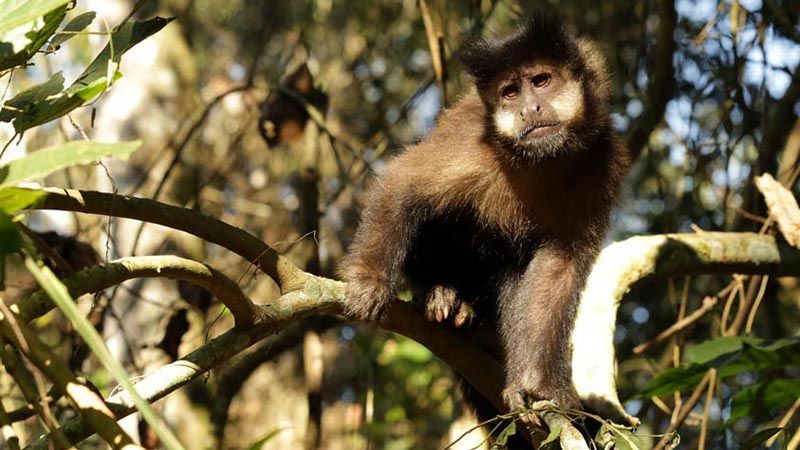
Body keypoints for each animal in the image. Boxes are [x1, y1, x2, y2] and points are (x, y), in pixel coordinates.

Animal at [340, 12, 628, 428]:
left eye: (540, 81)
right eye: (509, 92)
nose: (529, 109)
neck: (540, 159)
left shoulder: (604, 163)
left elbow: (558, 265)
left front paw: (539, 386)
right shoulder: (472, 139)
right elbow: (404, 181)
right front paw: (369, 281)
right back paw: (440, 293)